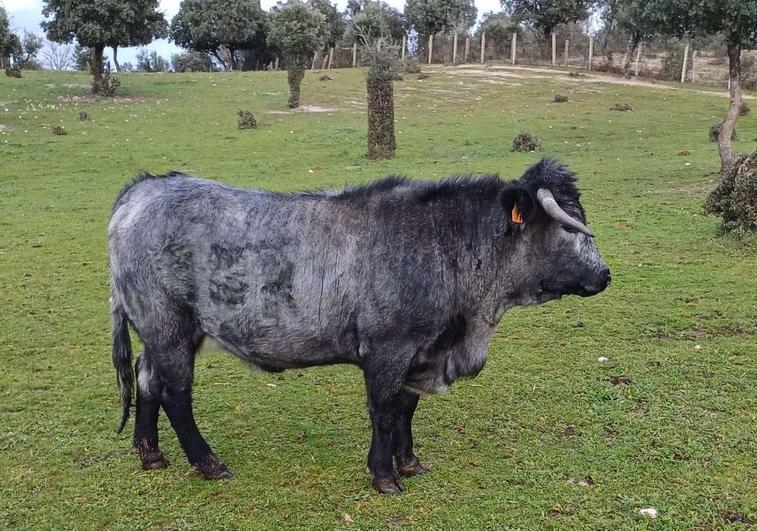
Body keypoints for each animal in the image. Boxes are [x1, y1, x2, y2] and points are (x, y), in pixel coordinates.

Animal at [110, 157, 608, 494]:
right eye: (567, 227)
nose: (604, 275)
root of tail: (142, 190)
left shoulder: (421, 350)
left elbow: (406, 408)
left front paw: (409, 462)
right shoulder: (389, 349)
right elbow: (384, 410)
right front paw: (384, 475)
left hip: (162, 332)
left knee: (147, 378)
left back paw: (150, 453)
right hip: (169, 327)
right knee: (175, 394)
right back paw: (207, 462)